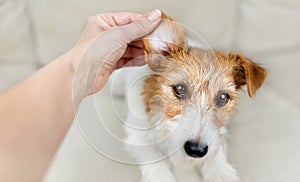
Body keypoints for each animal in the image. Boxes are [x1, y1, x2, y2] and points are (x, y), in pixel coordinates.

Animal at [110, 13, 268, 181]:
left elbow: (216, 152)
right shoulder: (137, 137)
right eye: (179, 89)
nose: (196, 150)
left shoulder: (218, 134)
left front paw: (220, 173)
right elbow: (153, 156)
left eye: (223, 97)